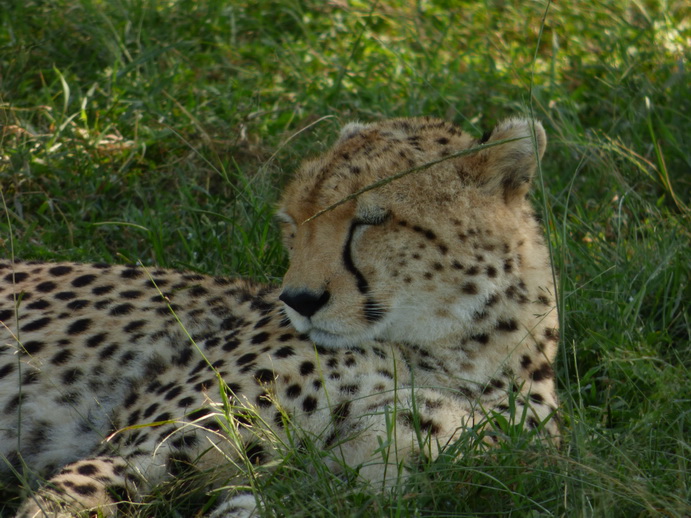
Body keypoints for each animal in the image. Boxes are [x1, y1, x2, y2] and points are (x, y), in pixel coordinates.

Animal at [0, 116, 560, 517]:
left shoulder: (345, 481)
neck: (459, 350)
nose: (300, 299)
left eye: (372, 220)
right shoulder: (137, 446)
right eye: (293, 224)